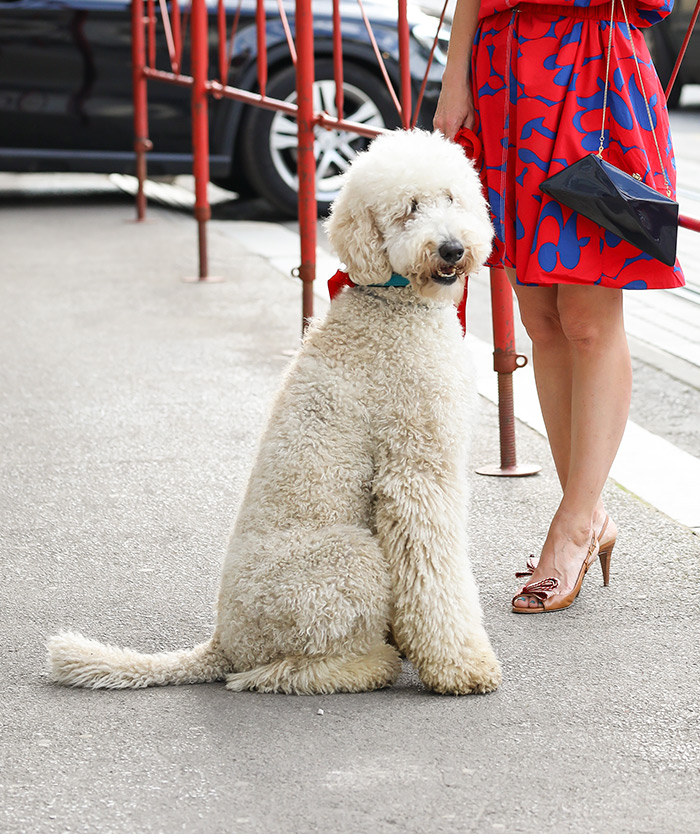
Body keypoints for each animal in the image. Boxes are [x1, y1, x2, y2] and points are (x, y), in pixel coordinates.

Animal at [46, 127, 500, 692]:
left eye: (451, 198)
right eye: (408, 209)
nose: (453, 248)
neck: (391, 304)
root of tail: (222, 643)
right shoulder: (414, 469)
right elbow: (435, 571)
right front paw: (461, 664)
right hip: (348, 558)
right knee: (278, 673)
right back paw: (372, 662)